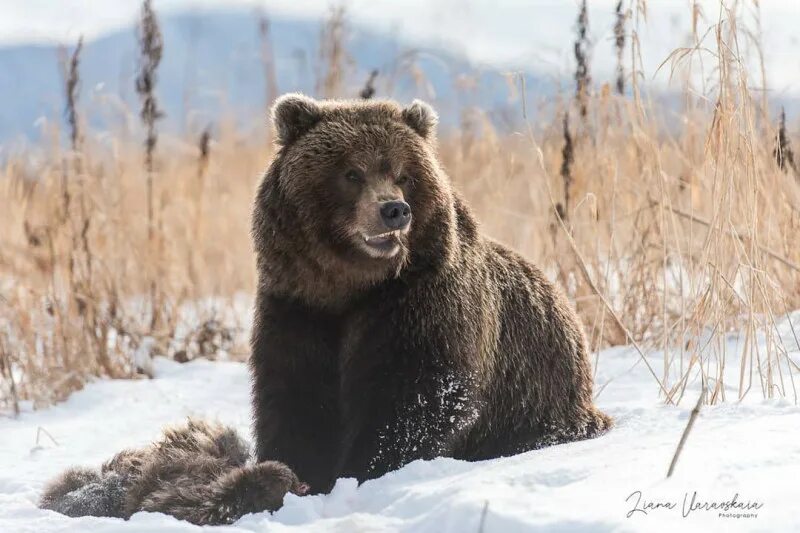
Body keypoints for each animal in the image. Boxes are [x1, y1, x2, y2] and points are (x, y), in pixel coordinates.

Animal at [250, 92, 612, 494]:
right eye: (352, 173)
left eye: (404, 175)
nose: (394, 209)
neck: (352, 286)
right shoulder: (298, 306)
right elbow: (295, 395)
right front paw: (297, 472)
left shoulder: (420, 303)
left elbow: (416, 398)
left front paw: (366, 468)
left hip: (539, 401)